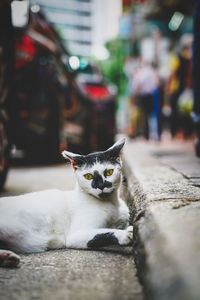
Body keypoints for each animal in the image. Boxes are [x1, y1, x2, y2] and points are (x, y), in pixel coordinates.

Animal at [0, 138, 133, 268]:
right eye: (88, 176)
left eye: (109, 172)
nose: (100, 186)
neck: (112, 204)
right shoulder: (75, 235)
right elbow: (102, 233)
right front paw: (125, 234)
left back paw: (7, 258)